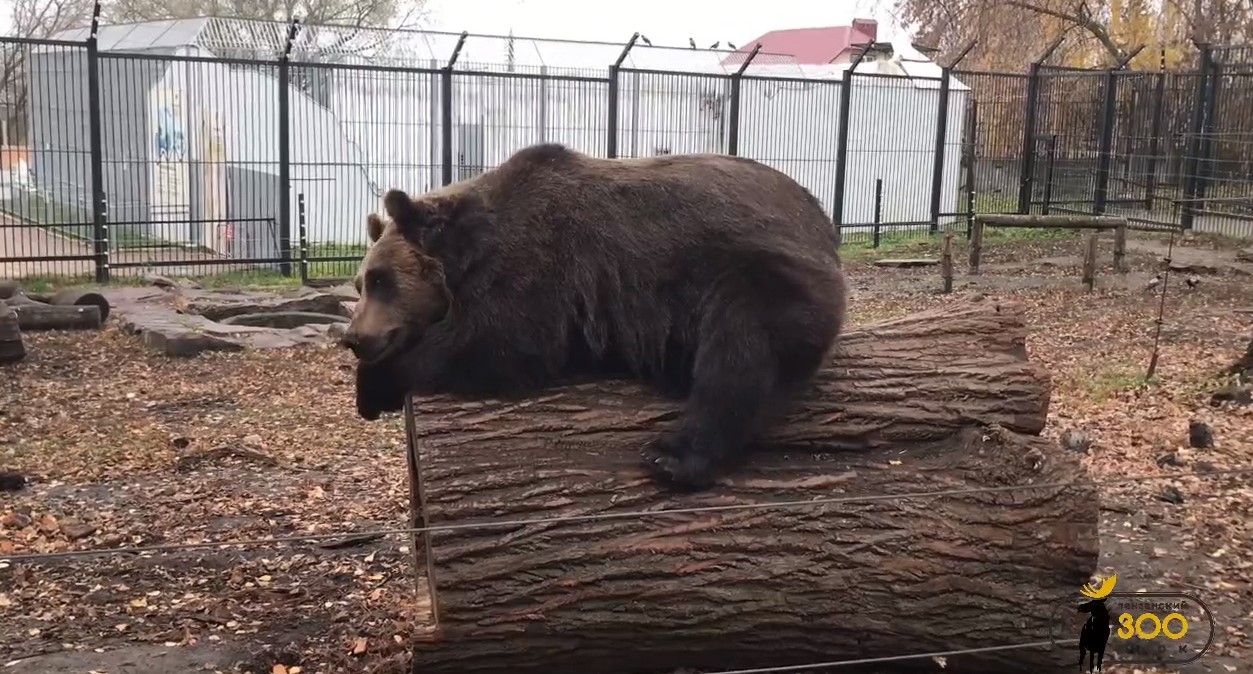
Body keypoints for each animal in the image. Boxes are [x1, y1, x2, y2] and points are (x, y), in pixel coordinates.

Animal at [348, 142, 847, 488]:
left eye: (382, 280)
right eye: (360, 283)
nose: (354, 337)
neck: (474, 247)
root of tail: (823, 221)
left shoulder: (539, 265)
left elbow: (495, 346)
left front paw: (373, 386)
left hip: (758, 268)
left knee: (740, 352)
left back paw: (673, 456)